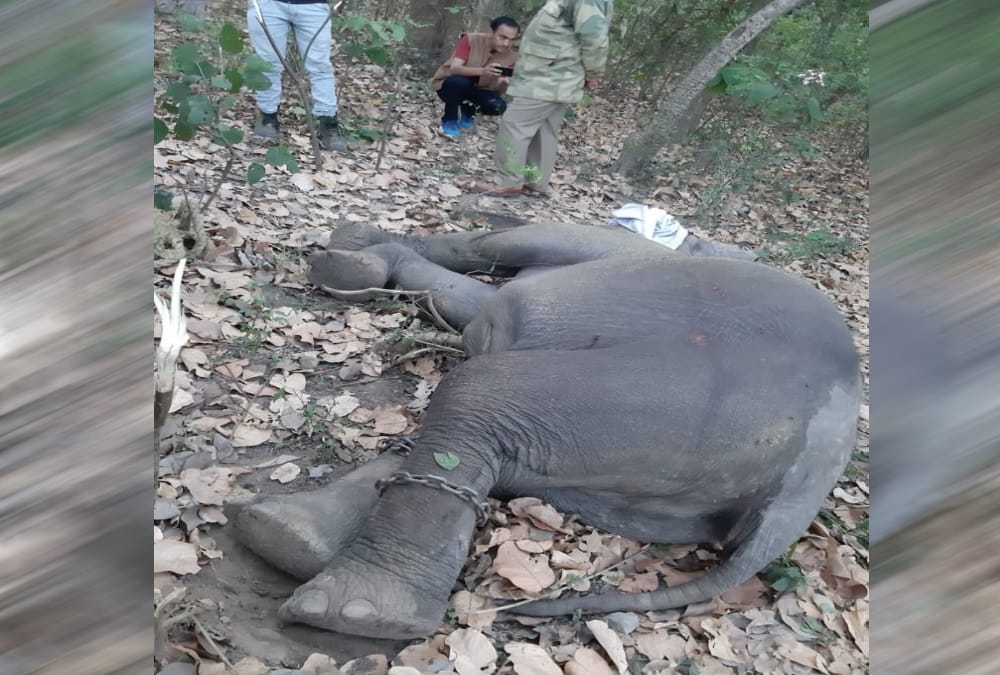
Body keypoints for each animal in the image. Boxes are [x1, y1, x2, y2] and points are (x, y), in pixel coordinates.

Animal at [232, 221, 861, 640]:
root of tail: (809, 480)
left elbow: (491, 264)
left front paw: (352, 253)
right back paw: (287, 535)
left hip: (696, 402)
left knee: (480, 391)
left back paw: (357, 611)